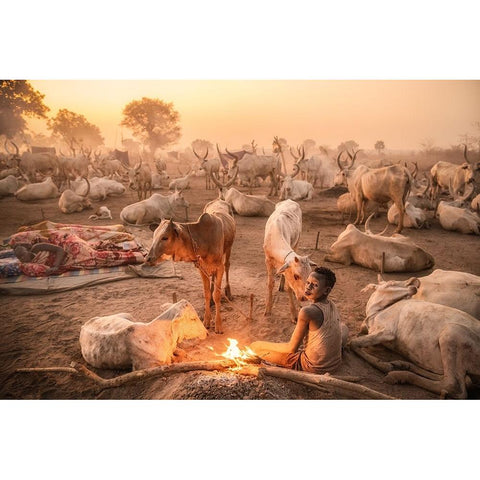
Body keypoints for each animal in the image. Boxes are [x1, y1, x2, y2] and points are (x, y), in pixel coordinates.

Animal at [348, 278, 480, 398]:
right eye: (391, 283)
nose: (415, 282)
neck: (375, 313)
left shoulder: (387, 332)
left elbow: (352, 342)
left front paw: (384, 365)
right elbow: (355, 341)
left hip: (451, 332)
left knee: (454, 386)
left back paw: (398, 375)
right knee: (455, 379)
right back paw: (402, 365)